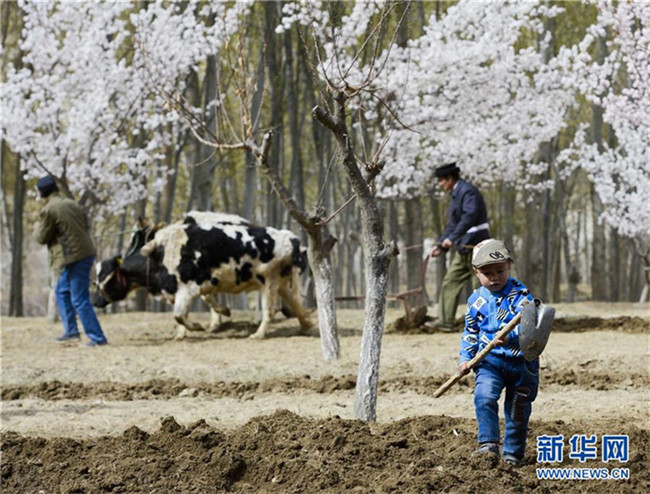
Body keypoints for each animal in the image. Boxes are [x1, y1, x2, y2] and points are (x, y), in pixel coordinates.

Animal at [93, 212, 312, 340]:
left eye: (104, 277)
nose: (94, 301)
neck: (160, 253)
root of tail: (292, 239)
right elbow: (185, 313)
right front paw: (182, 333)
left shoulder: (188, 289)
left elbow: (180, 314)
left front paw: (198, 326)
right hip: (280, 283)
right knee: (295, 303)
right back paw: (306, 325)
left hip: (269, 283)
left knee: (270, 311)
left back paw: (258, 334)